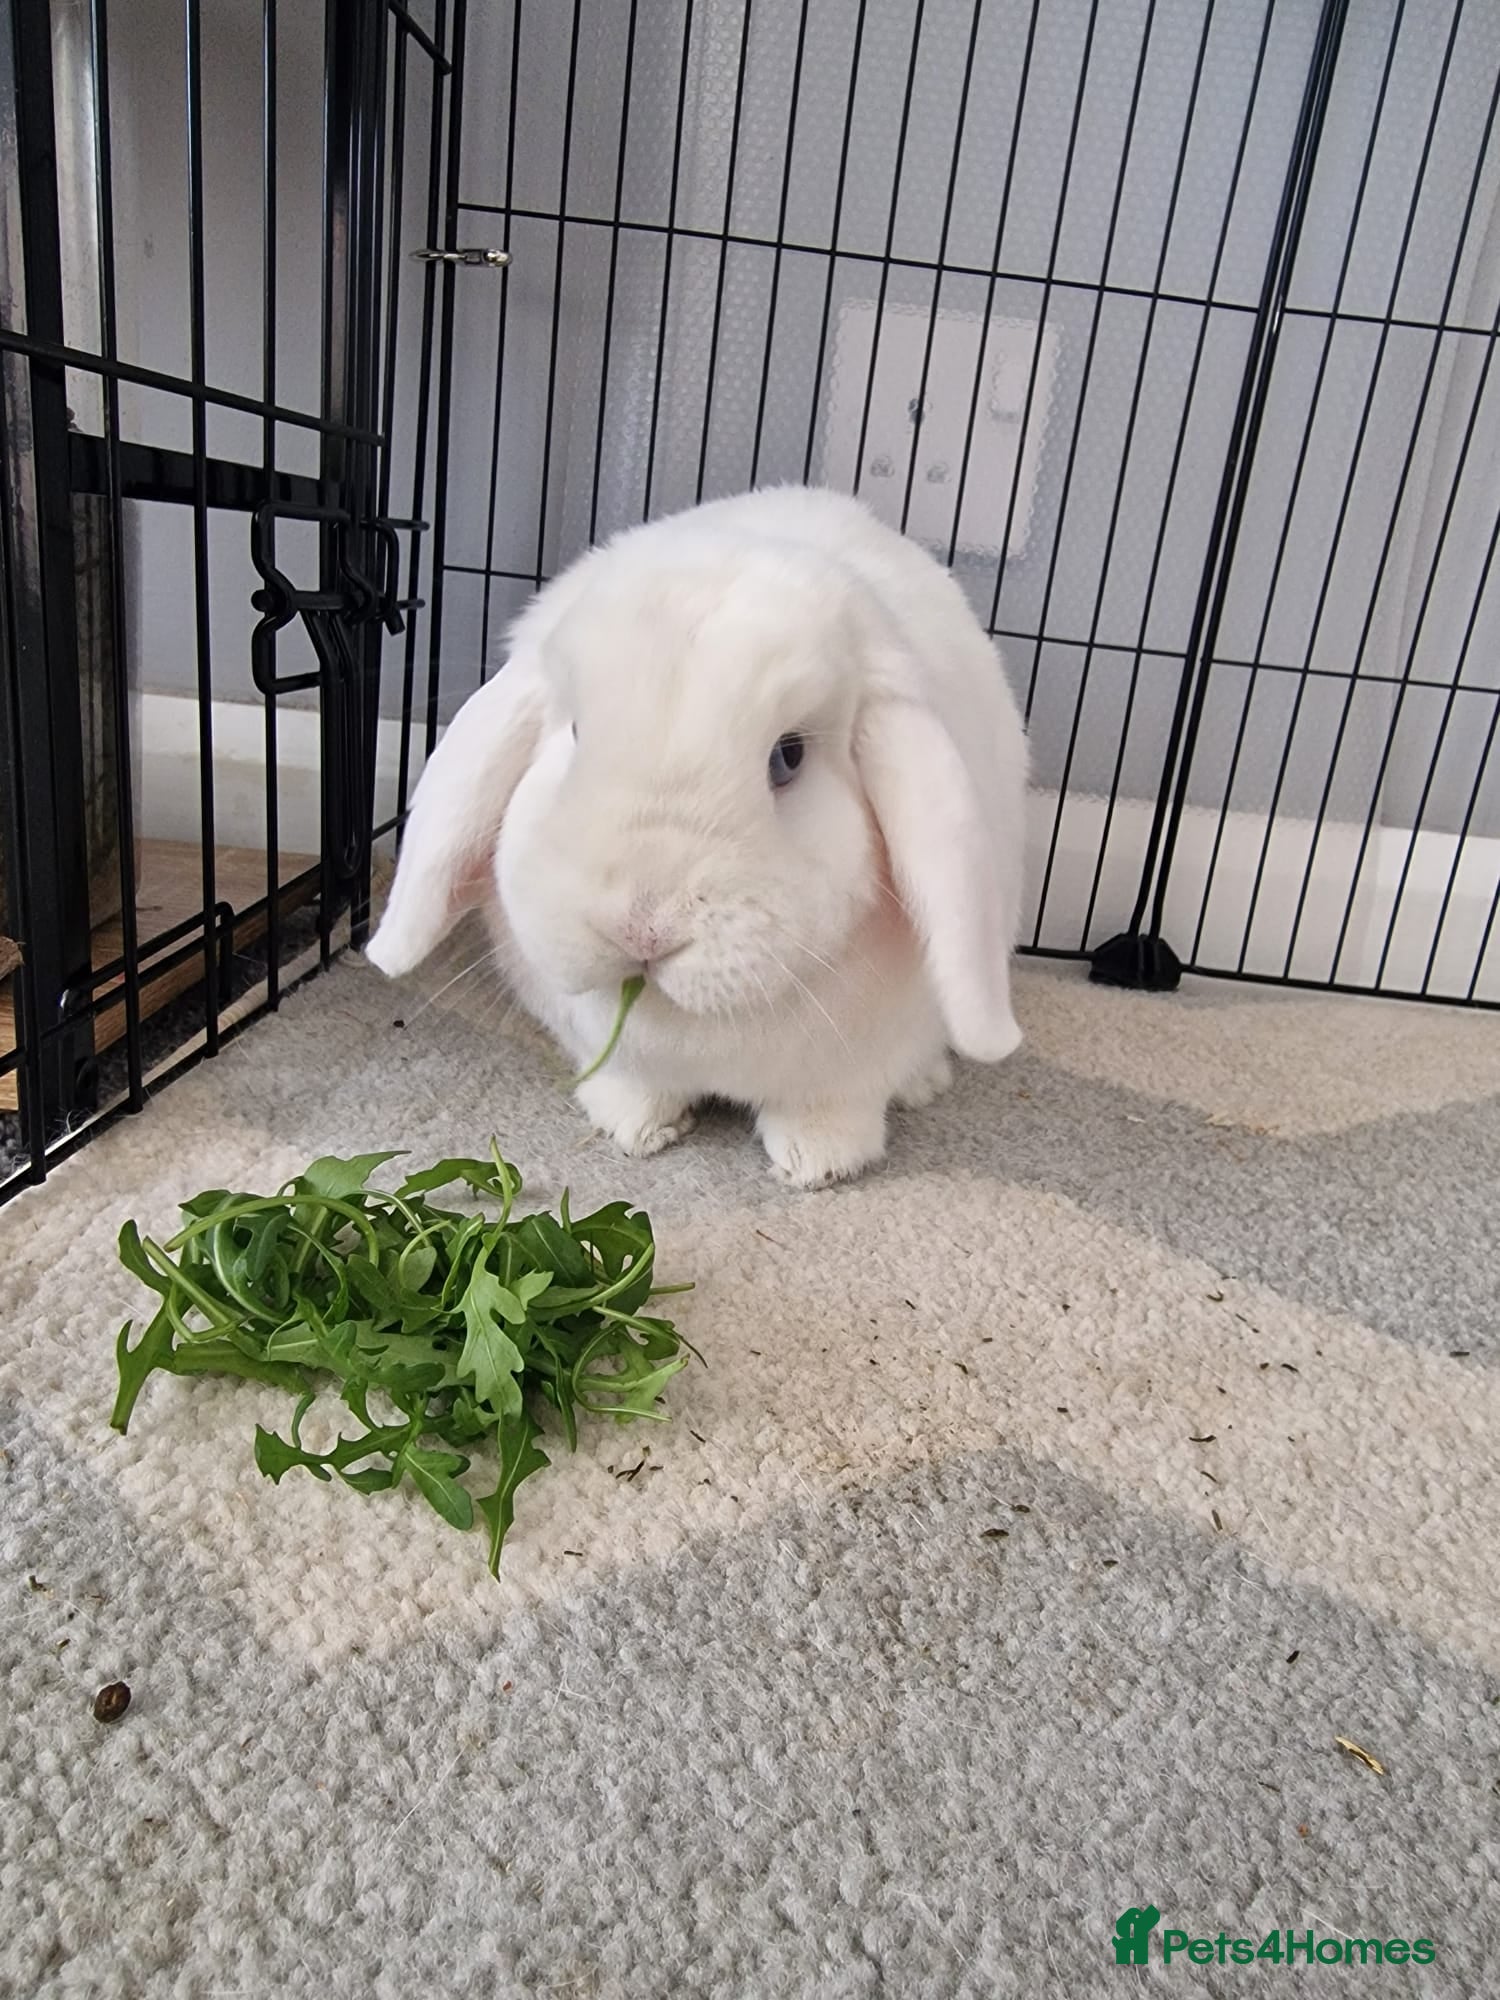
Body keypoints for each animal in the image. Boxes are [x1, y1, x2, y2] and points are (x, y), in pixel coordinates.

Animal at [366, 486, 1028, 1188]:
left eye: (788, 757)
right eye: (574, 733)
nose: (641, 929)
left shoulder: (851, 1068)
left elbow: (832, 1106)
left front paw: (817, 1164)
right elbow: (634, 1086)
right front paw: (637, 1129)